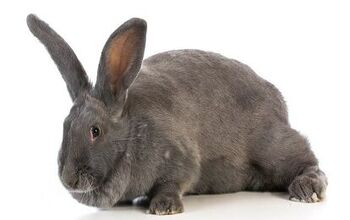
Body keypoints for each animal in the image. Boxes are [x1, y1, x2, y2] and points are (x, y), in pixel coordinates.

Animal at [27, 14, 328, 215]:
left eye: (95, 131)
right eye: (65, 125)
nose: (68, 179)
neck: (131, 131)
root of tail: (278, 101)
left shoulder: (181, 158)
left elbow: (173, 182)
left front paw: (163, 206)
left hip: (271, 146)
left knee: (306, 159)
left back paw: (306, 190)